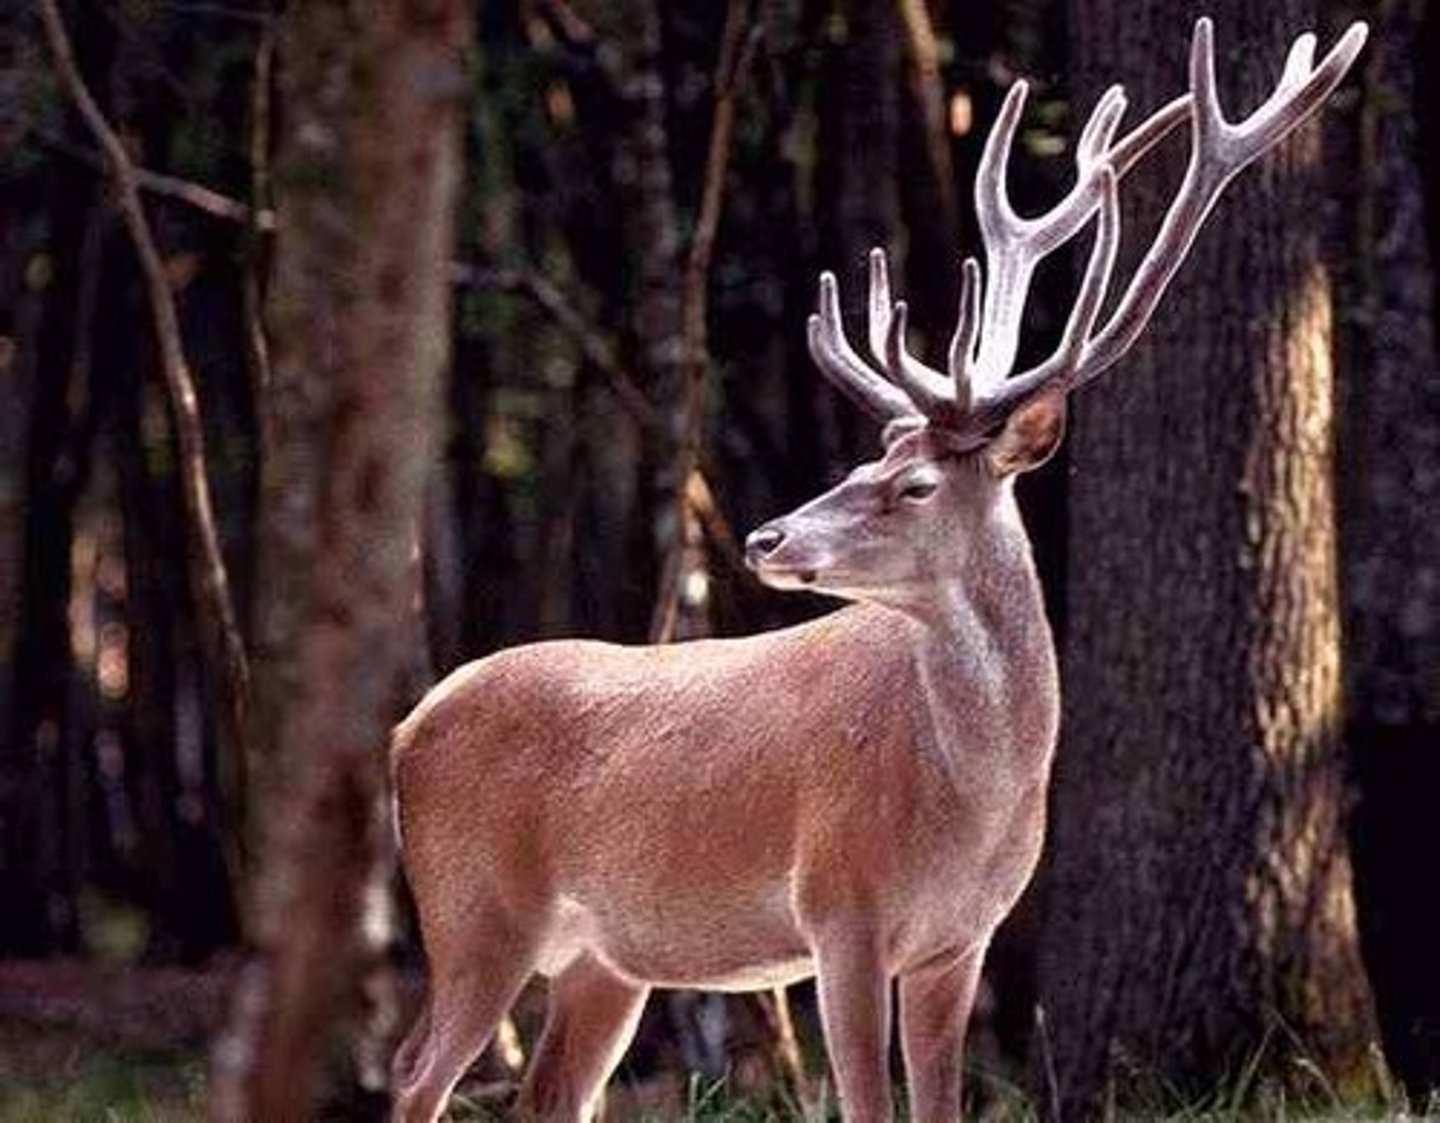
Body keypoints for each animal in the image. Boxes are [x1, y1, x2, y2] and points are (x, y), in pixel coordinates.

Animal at [389, 18, 1366, 1123]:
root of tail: (408, 727)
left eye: (911, 483)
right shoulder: (839, 905)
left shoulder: (961, 940)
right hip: (474, 904)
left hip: (607, 954)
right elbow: (864, 1098)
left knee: (546, 1091)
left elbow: (937, 1101)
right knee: (414, 1070)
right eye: (866, 464)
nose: (765, 539)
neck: (970, 802)